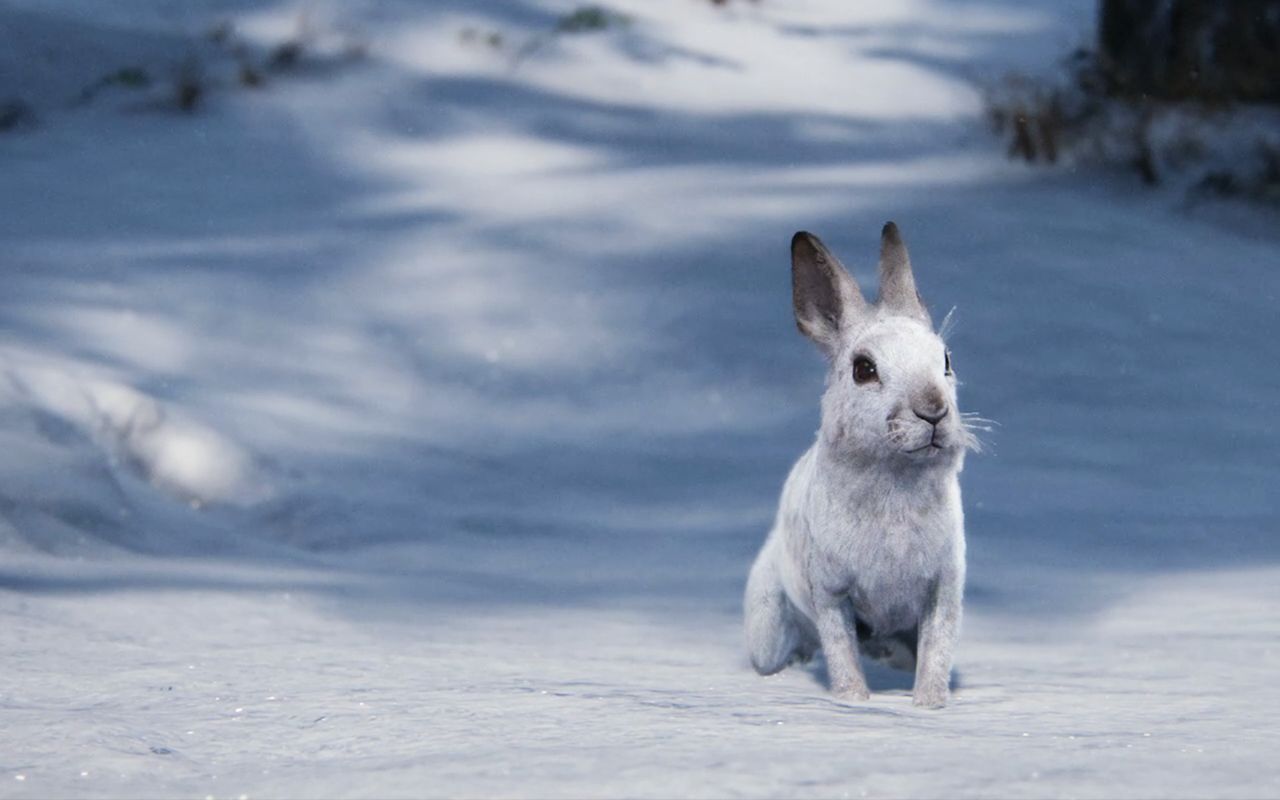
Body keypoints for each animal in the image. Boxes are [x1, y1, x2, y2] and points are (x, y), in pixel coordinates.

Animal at [742, 221, 977, 706]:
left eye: (945, 360)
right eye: (864, 369)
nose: (933, 412)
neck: (894, 477)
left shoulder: (943, 588)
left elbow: (936, 654)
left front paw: (929, 706)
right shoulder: (832, 594)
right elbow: (842, 655)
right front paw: (854, 702)